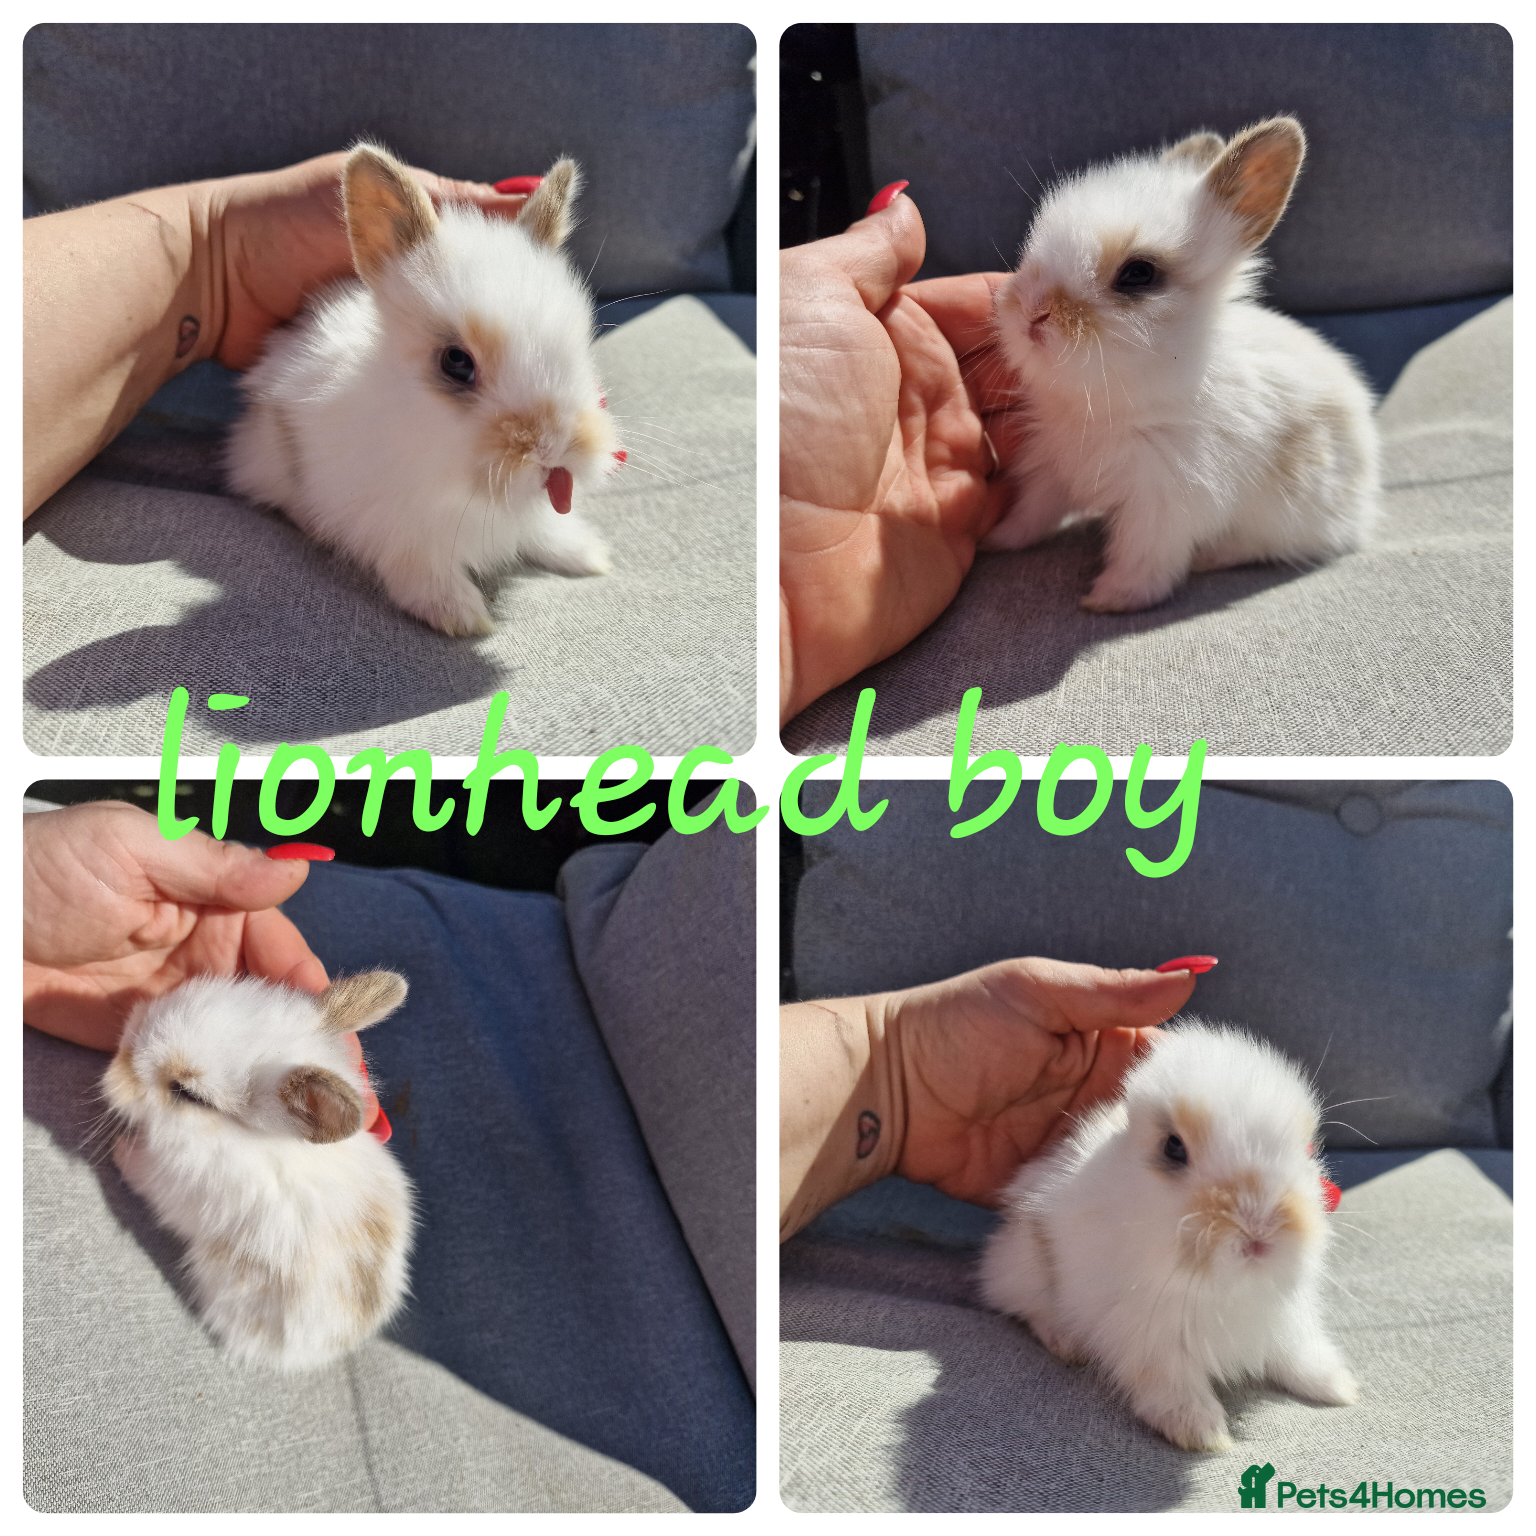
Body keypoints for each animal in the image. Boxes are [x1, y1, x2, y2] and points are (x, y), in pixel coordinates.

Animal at [225, 143, 622, 636]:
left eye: (581, 343)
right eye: (456, 362)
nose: (556, 448)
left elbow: (543, 528)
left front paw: (588, 555)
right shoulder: (396, 529)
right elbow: (422, 570)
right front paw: (461, 615)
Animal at [979, 1021, 1356, 1453]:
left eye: (1307, 1149)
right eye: (1173, 1147)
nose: (1260, 1232)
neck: (1227, 1289)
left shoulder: (1284, 1318)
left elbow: (1298, 1354)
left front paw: (1338, 1387)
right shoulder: (1148, 1336)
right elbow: (1171, 1385)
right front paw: (1203, 1433)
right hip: (1026, 1266)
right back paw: (1066, 1343)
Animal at [981, 117, 1380, 613]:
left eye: (1138, 274)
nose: (1033, 311)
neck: (1105, 401)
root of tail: (1365, 502)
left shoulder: (1165, 499)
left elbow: (1143, 559)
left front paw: (1108, 600)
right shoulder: (1050, 468)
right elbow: (1032, 515)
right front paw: (996, 541)